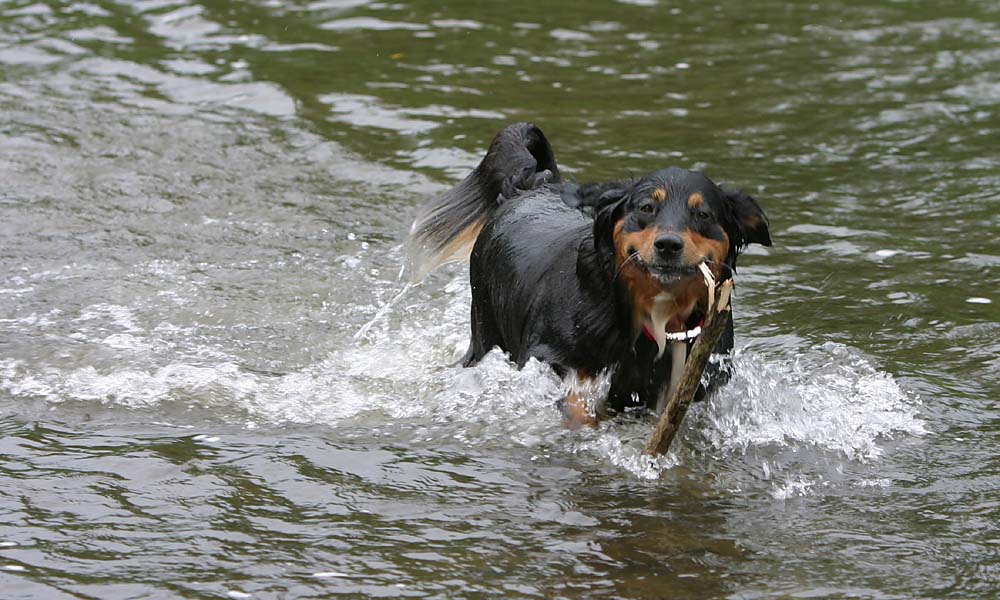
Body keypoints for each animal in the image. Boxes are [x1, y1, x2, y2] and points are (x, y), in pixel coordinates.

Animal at [408, 122, 772, 424]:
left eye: (703, 214)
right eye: (646, 208)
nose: (668, 244)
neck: (658, 314)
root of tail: (529, 186)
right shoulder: (555, 362)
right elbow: (577, 407)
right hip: (484, 328)